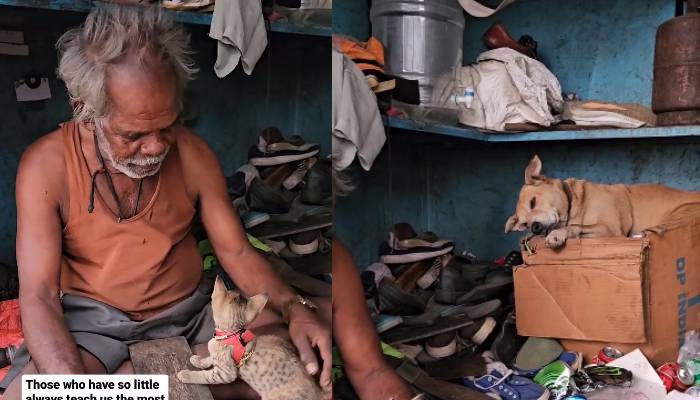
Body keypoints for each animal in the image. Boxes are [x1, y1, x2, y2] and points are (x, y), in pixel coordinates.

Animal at [178, 278, 326, 400]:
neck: (231, 334)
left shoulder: (227, 373)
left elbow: (205, 376)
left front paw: (187, 375)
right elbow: (210, 358)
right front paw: (199, 360)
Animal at [506, 155, 700, 247]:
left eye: (533, 202)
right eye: (524, 224)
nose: (534, 228)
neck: (576, 203)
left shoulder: (611, 228)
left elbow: (575, 226)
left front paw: (557, 234)